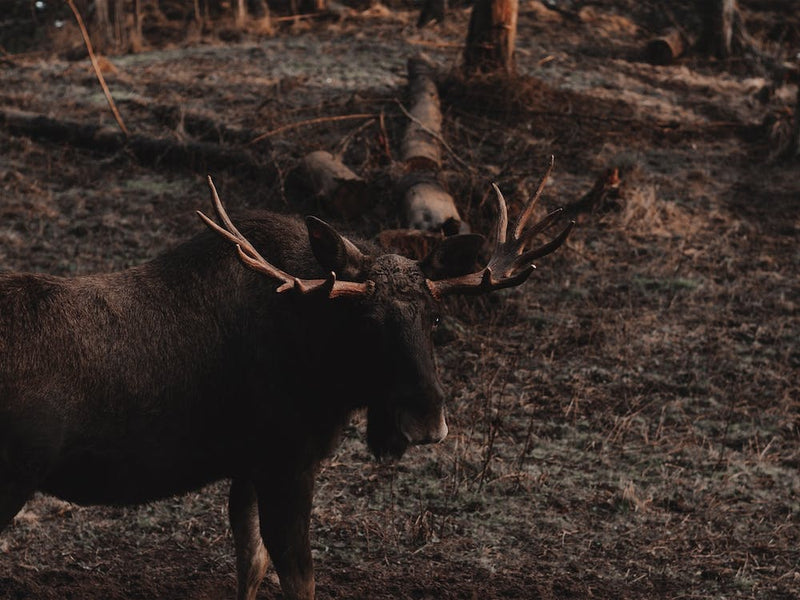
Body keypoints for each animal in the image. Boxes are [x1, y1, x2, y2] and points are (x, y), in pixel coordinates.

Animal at [0, 159, 572, 600]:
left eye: (434, 317)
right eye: (367, 321)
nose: (427, 421)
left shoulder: (248, 465)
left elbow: (251, 565)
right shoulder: (286, 462)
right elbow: (300, 580)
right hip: (12, 479)